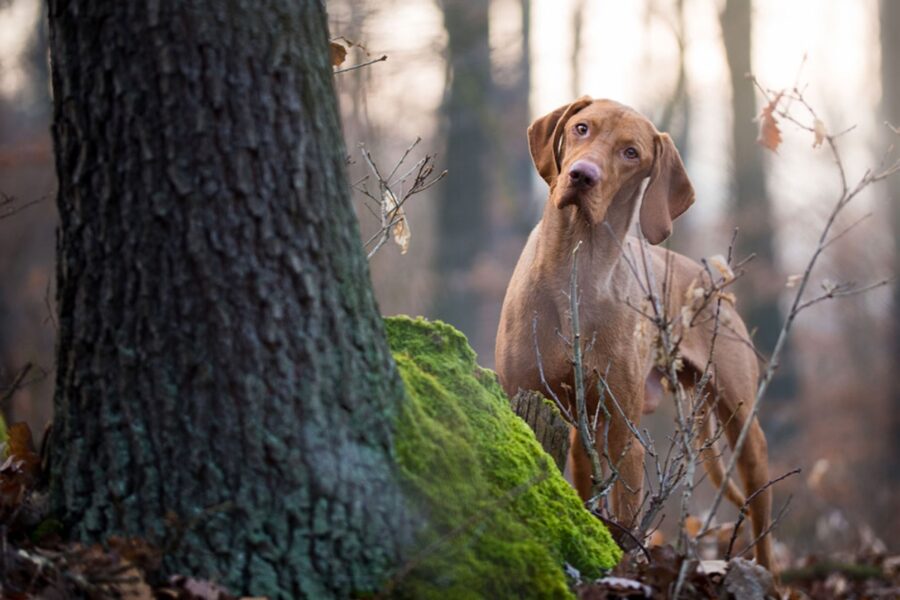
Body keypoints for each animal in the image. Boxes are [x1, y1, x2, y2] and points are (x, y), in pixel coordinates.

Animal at [492, 96, 772, 568]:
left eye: (630, 153)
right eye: (582, 128)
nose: (582, 175)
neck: (575, 267)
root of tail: (714, 284)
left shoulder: (627, 437)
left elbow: (625, 526)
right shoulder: (522, 399)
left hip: (742, 423)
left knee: (760, 514)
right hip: (582, 430)